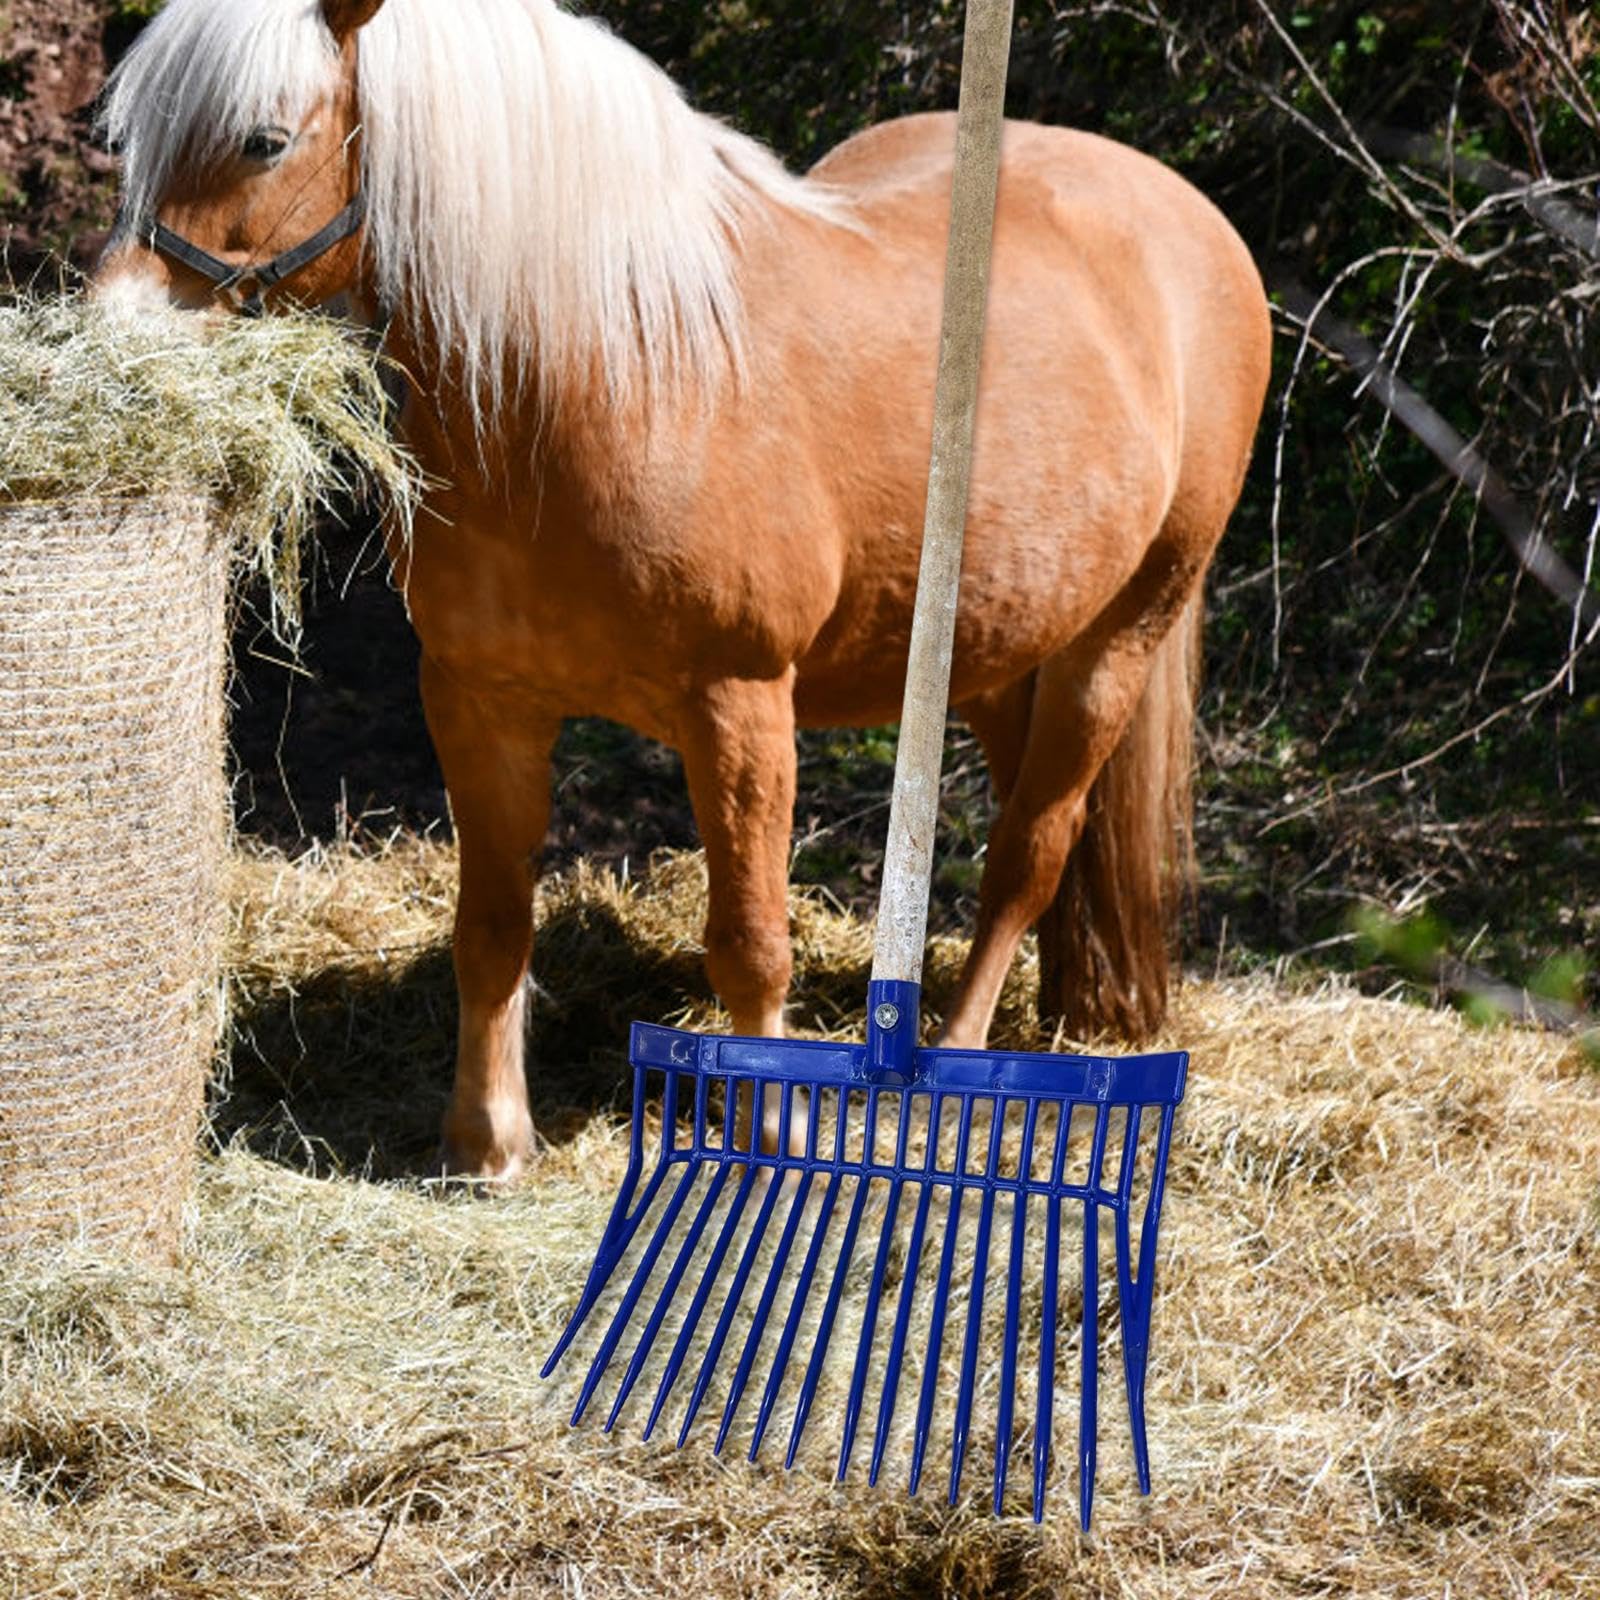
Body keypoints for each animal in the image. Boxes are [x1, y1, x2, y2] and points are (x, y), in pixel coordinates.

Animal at [97, 0, 1272, 1181]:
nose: (115, 332)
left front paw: (773, 1132)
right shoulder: (479, 699)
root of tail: (1184, 216)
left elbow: (749, 941)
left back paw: (959, 1064)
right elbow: (491, 926)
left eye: (263, 140)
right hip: (992, 645)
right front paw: (487, 1142)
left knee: (1031, 849)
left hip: (1121, 637)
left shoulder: (740, 707)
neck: (620, 378)